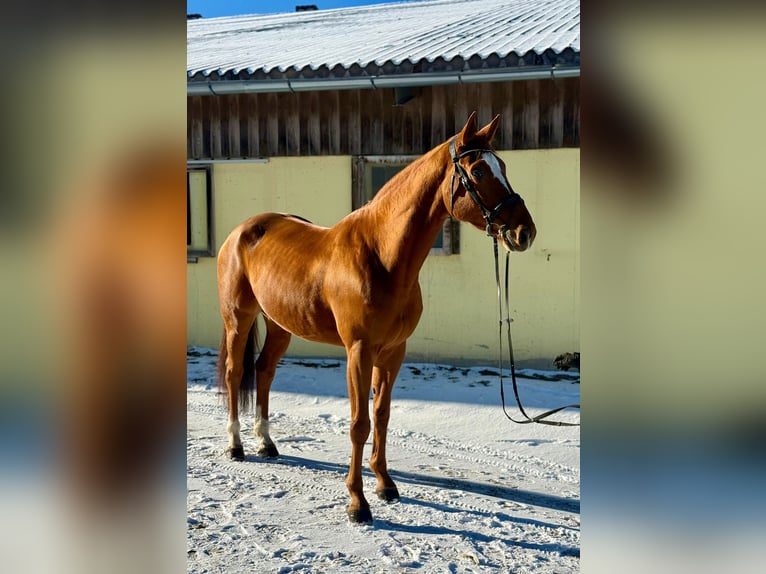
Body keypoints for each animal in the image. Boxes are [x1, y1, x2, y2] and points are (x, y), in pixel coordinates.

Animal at [215, 112, 536, 524]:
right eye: (478, 170)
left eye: (504, 167)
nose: (524, 232)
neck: (381, 256)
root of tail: (242, 230)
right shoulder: (359, 351)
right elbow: (359, 423)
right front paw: (357, 502)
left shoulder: (393, 352)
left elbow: (382, 416)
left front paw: (385, 485)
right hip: (238, 319)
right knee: (236, 372)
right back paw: (235, 445)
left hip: (280, 324)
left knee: (264, 370)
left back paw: (266, 442)